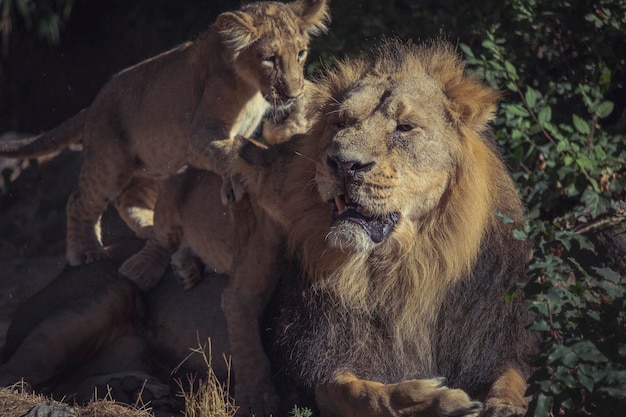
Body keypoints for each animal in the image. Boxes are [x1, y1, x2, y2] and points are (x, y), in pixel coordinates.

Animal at [0, 0, 330, 266]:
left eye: (301, 54)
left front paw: (293, 121)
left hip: (157, 166)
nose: (292, 93)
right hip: (109, 163)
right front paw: (233, 183)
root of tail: (93, 103)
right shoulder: (198, 134)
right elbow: (227, 151)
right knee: (79, 200)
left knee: (128, 200)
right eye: (270, 58)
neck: (252, 89)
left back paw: (151, 231)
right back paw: (86, 251)